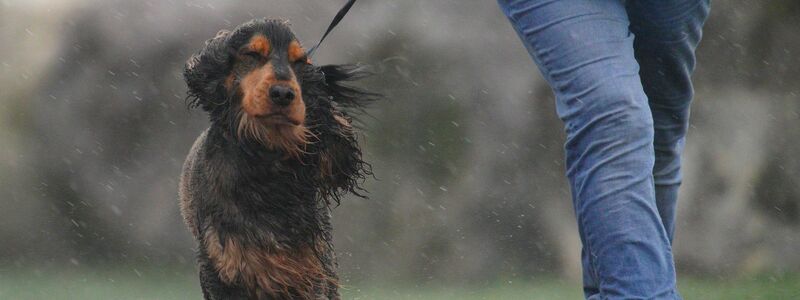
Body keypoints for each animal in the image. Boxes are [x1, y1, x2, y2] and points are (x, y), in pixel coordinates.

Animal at [180, 19, 374, 300]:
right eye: (252, 54)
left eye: (299, 61)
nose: (283, 93)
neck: (266, 156)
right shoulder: (222, 267)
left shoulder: (308, 268)